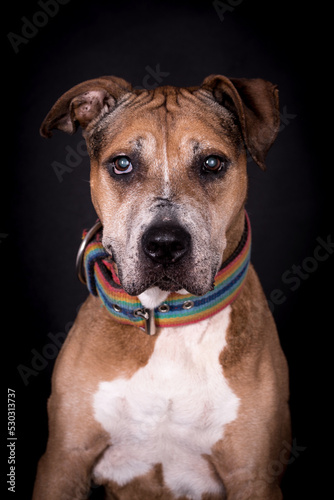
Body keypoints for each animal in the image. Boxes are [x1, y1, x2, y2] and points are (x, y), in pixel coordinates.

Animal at [32, 75, 290, 500]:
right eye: (122, 164)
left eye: (212, 164)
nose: (165, 244)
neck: (166, 317)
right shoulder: (63, 462)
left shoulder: (253, 476)